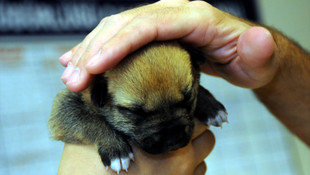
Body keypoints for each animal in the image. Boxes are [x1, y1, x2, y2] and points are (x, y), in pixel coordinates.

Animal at [48, 41, 228, 174]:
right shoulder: (66, 104)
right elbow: (90, 120)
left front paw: (210, 105)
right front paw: (116, 150)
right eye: (134, 112)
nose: (173, 141)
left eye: (188, 97)